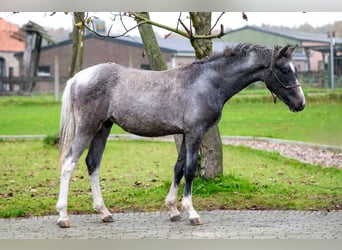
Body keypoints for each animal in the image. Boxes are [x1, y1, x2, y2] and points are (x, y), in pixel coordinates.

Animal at [56, 43, 304, 229]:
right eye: (284, 70)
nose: (301, 104)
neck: (206, 82)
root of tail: (77, 78)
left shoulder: (185, 134)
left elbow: (178, 168)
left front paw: (173, 210)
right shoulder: (195, 133)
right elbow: (190, 170)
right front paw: (191, 213)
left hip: (103, 128)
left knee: (92, 163)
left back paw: (104, 212)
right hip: (88, 127)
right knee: (69, 163)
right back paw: (63, 216)